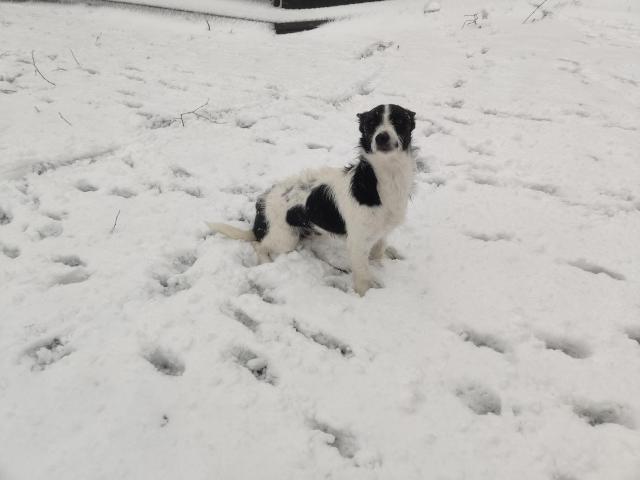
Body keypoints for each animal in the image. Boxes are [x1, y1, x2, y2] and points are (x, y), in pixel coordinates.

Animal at [208, 104, 416, 296]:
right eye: (371, 124)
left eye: (399, 121)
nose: (381, 137)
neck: (383, 179)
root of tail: (262, 205)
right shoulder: (357, 242)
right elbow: (363, 276)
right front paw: (365, 295)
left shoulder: (380, 234)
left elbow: (378, 254)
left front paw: (381, 268)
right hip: (285, 239)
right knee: (257, 244)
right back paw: (267, 262)